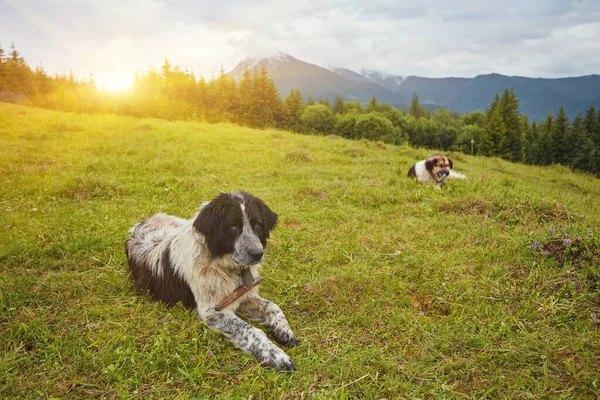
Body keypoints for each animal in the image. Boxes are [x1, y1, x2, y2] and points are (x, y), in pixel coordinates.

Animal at [125, 191, 298, 372]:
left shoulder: (242, 295)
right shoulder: (212, 311)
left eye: (256, 224)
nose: (258, 254)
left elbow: (273, 306)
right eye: (233, 227)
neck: (221, 263)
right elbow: (251, 331)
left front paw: (284, 331)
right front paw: (276, 355)